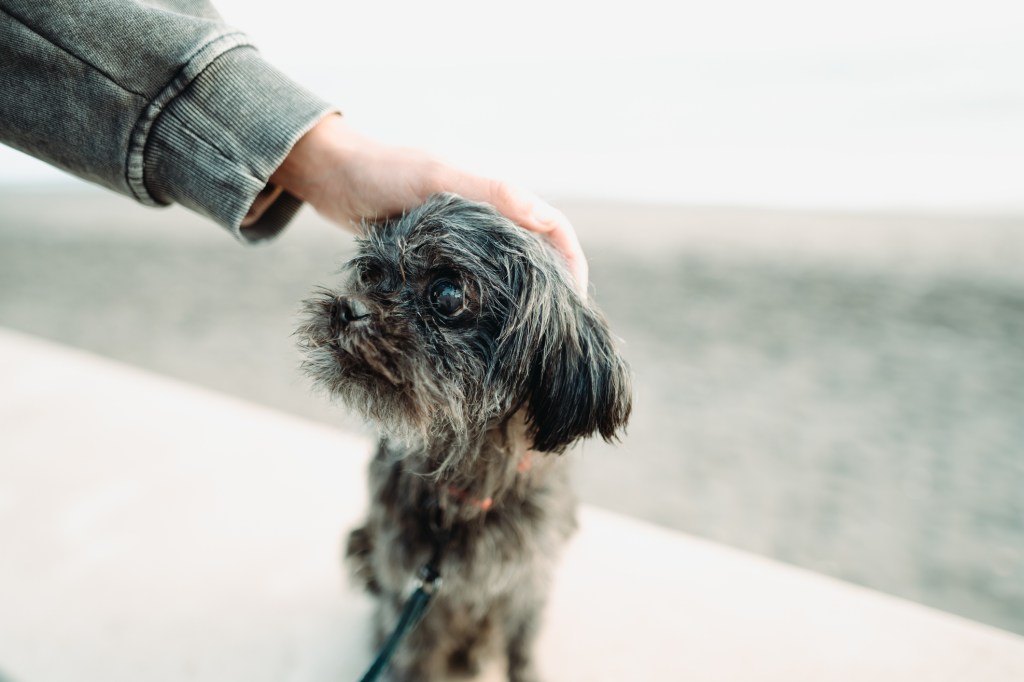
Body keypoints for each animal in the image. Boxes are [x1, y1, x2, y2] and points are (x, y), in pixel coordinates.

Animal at [296, 192, 630, 679]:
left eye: (448, 294)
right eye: (368, 273)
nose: (348, 308)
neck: (463, 490)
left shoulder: (528, 582)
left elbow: (522, 651)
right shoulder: (408, 592)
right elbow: (414, 661)